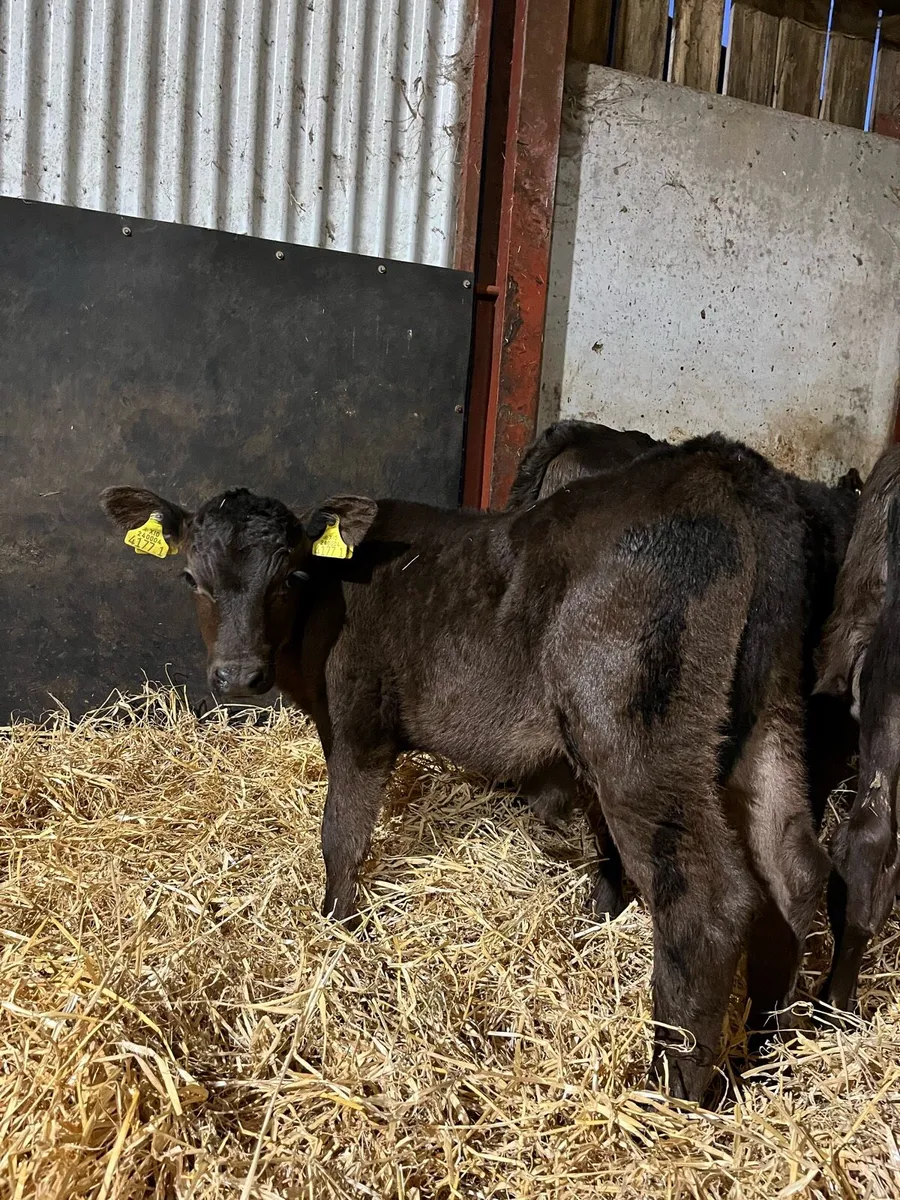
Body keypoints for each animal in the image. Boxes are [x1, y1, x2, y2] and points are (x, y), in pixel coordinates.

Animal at [102, 433, 830, 1102]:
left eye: (286, 578)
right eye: (191, 578)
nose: (237, 676)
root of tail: (718, 462)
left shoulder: (358, 722)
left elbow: (342, 835)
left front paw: (338, 930)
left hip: (634, 724)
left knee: (707, 901)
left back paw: (671, 1091)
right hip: (773, 709)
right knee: (792, 871)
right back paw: (766, 1050)